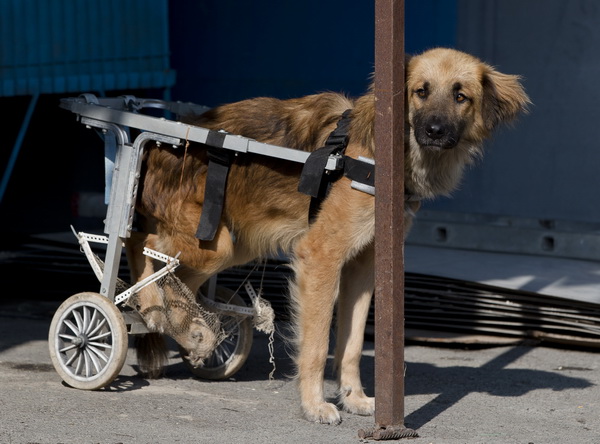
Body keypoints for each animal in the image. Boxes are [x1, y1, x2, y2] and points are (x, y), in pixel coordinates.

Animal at [124, 46, 528, 424]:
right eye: (420, 92)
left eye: (461, 96)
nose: (434, 131)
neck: (380, 154)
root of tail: (160, 143)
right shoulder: (321, 257)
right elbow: (317, 344)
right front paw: (314, 405)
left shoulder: (363, 267)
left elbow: (351, 345)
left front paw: (354, 398)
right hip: (214, 243)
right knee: (142, 243)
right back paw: (149, 305)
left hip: (237, 244)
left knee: (176, 278)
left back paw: (191, 330)